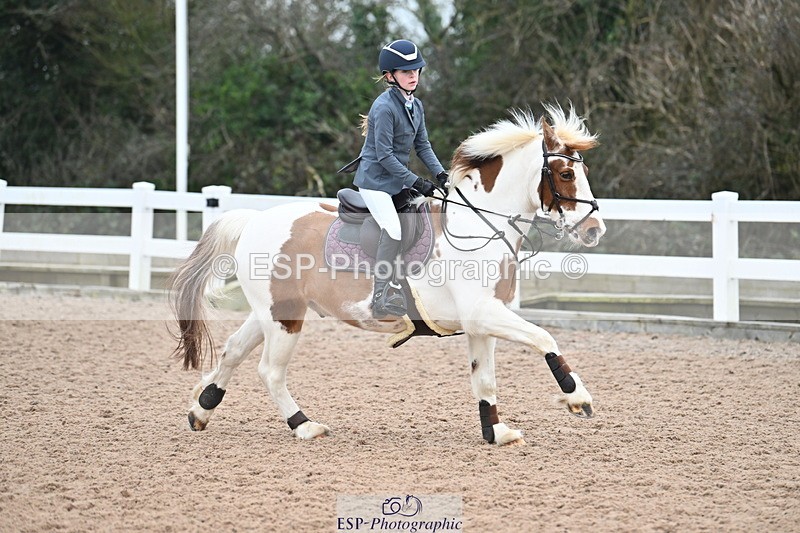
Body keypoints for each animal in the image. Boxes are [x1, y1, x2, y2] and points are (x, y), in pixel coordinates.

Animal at [169, 103, 606, 446]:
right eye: (566, 174)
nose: (594, 230)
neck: (478, 226)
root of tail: (253, 219)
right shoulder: (484, 314)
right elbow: (544, 337)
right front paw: (577, 397)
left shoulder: (481, 321)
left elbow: (485, 379)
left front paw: (496, 432)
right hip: (284, 317)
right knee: (269, 371)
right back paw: (305, 426)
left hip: (271, 311)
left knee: (233, 350)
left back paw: (201, 410)